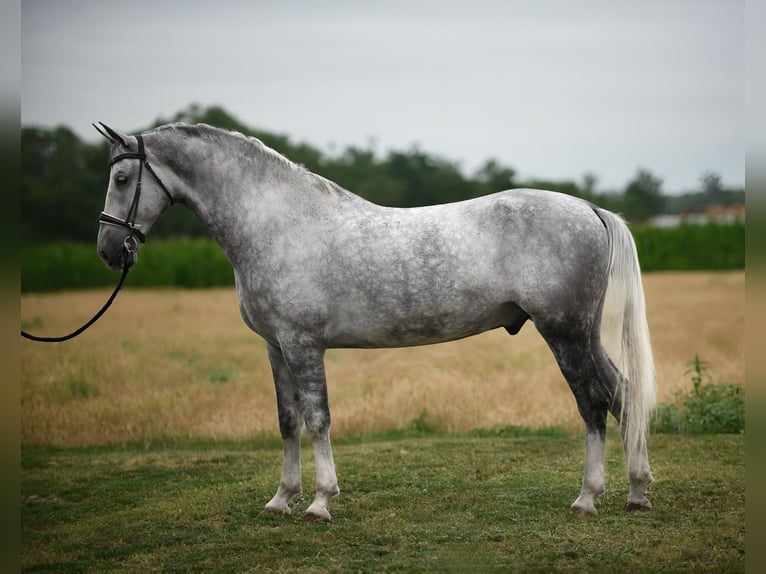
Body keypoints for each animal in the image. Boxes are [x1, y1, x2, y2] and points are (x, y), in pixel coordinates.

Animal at [96, 124, 656, 524]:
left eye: (122, 179)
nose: (108, 250)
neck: (277, 224)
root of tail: (588, 208)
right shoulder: (276, 347)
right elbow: (287, 420)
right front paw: (281, 500)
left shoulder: (303, 345)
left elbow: (317, 418)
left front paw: (320, 503)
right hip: (583, 334)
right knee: (623, 393)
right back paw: (636, 492)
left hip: (564, 332)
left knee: (593, 403)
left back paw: (587, 498)